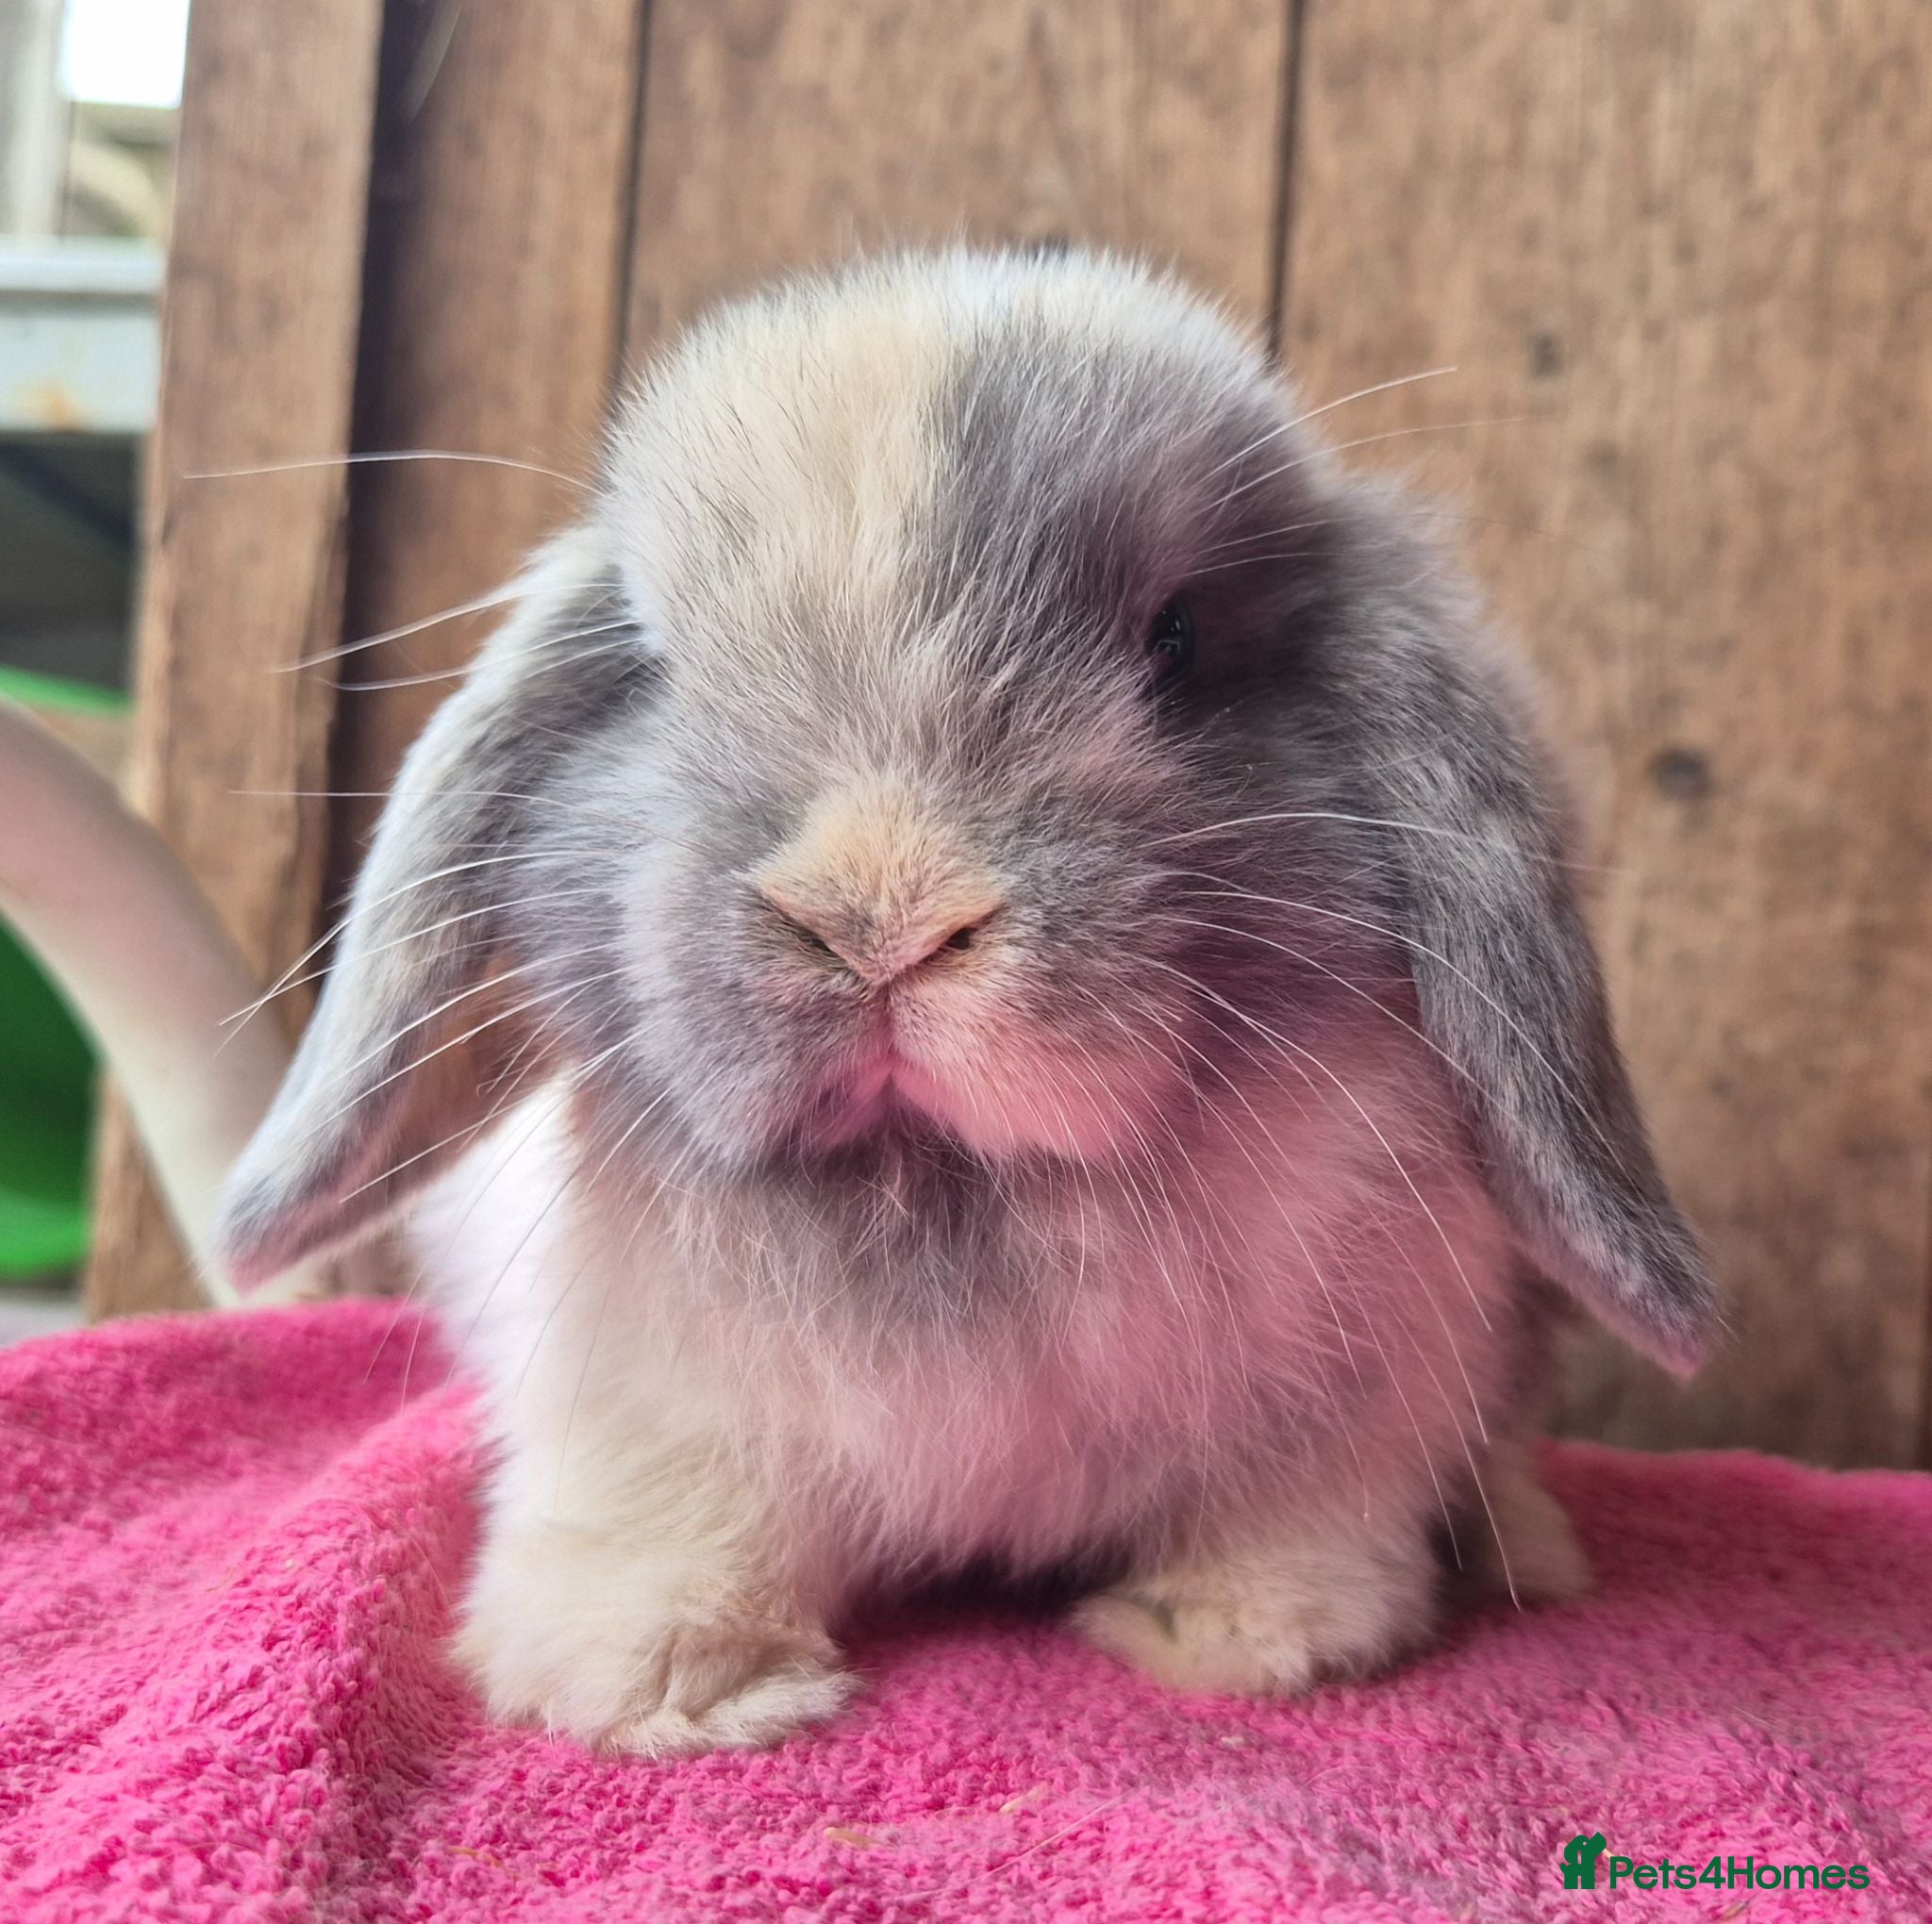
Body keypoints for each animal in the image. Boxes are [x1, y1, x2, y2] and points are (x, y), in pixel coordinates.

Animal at [211, 248, 1716, 1757]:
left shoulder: (1363, 1388)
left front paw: (1232, 1640)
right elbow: (679, 1519)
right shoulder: (643, 1401)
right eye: (654, 665)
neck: (949, 1180)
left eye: (1176, 643)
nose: (877, 915)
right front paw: (668, 1685)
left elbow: (1294, 1524)